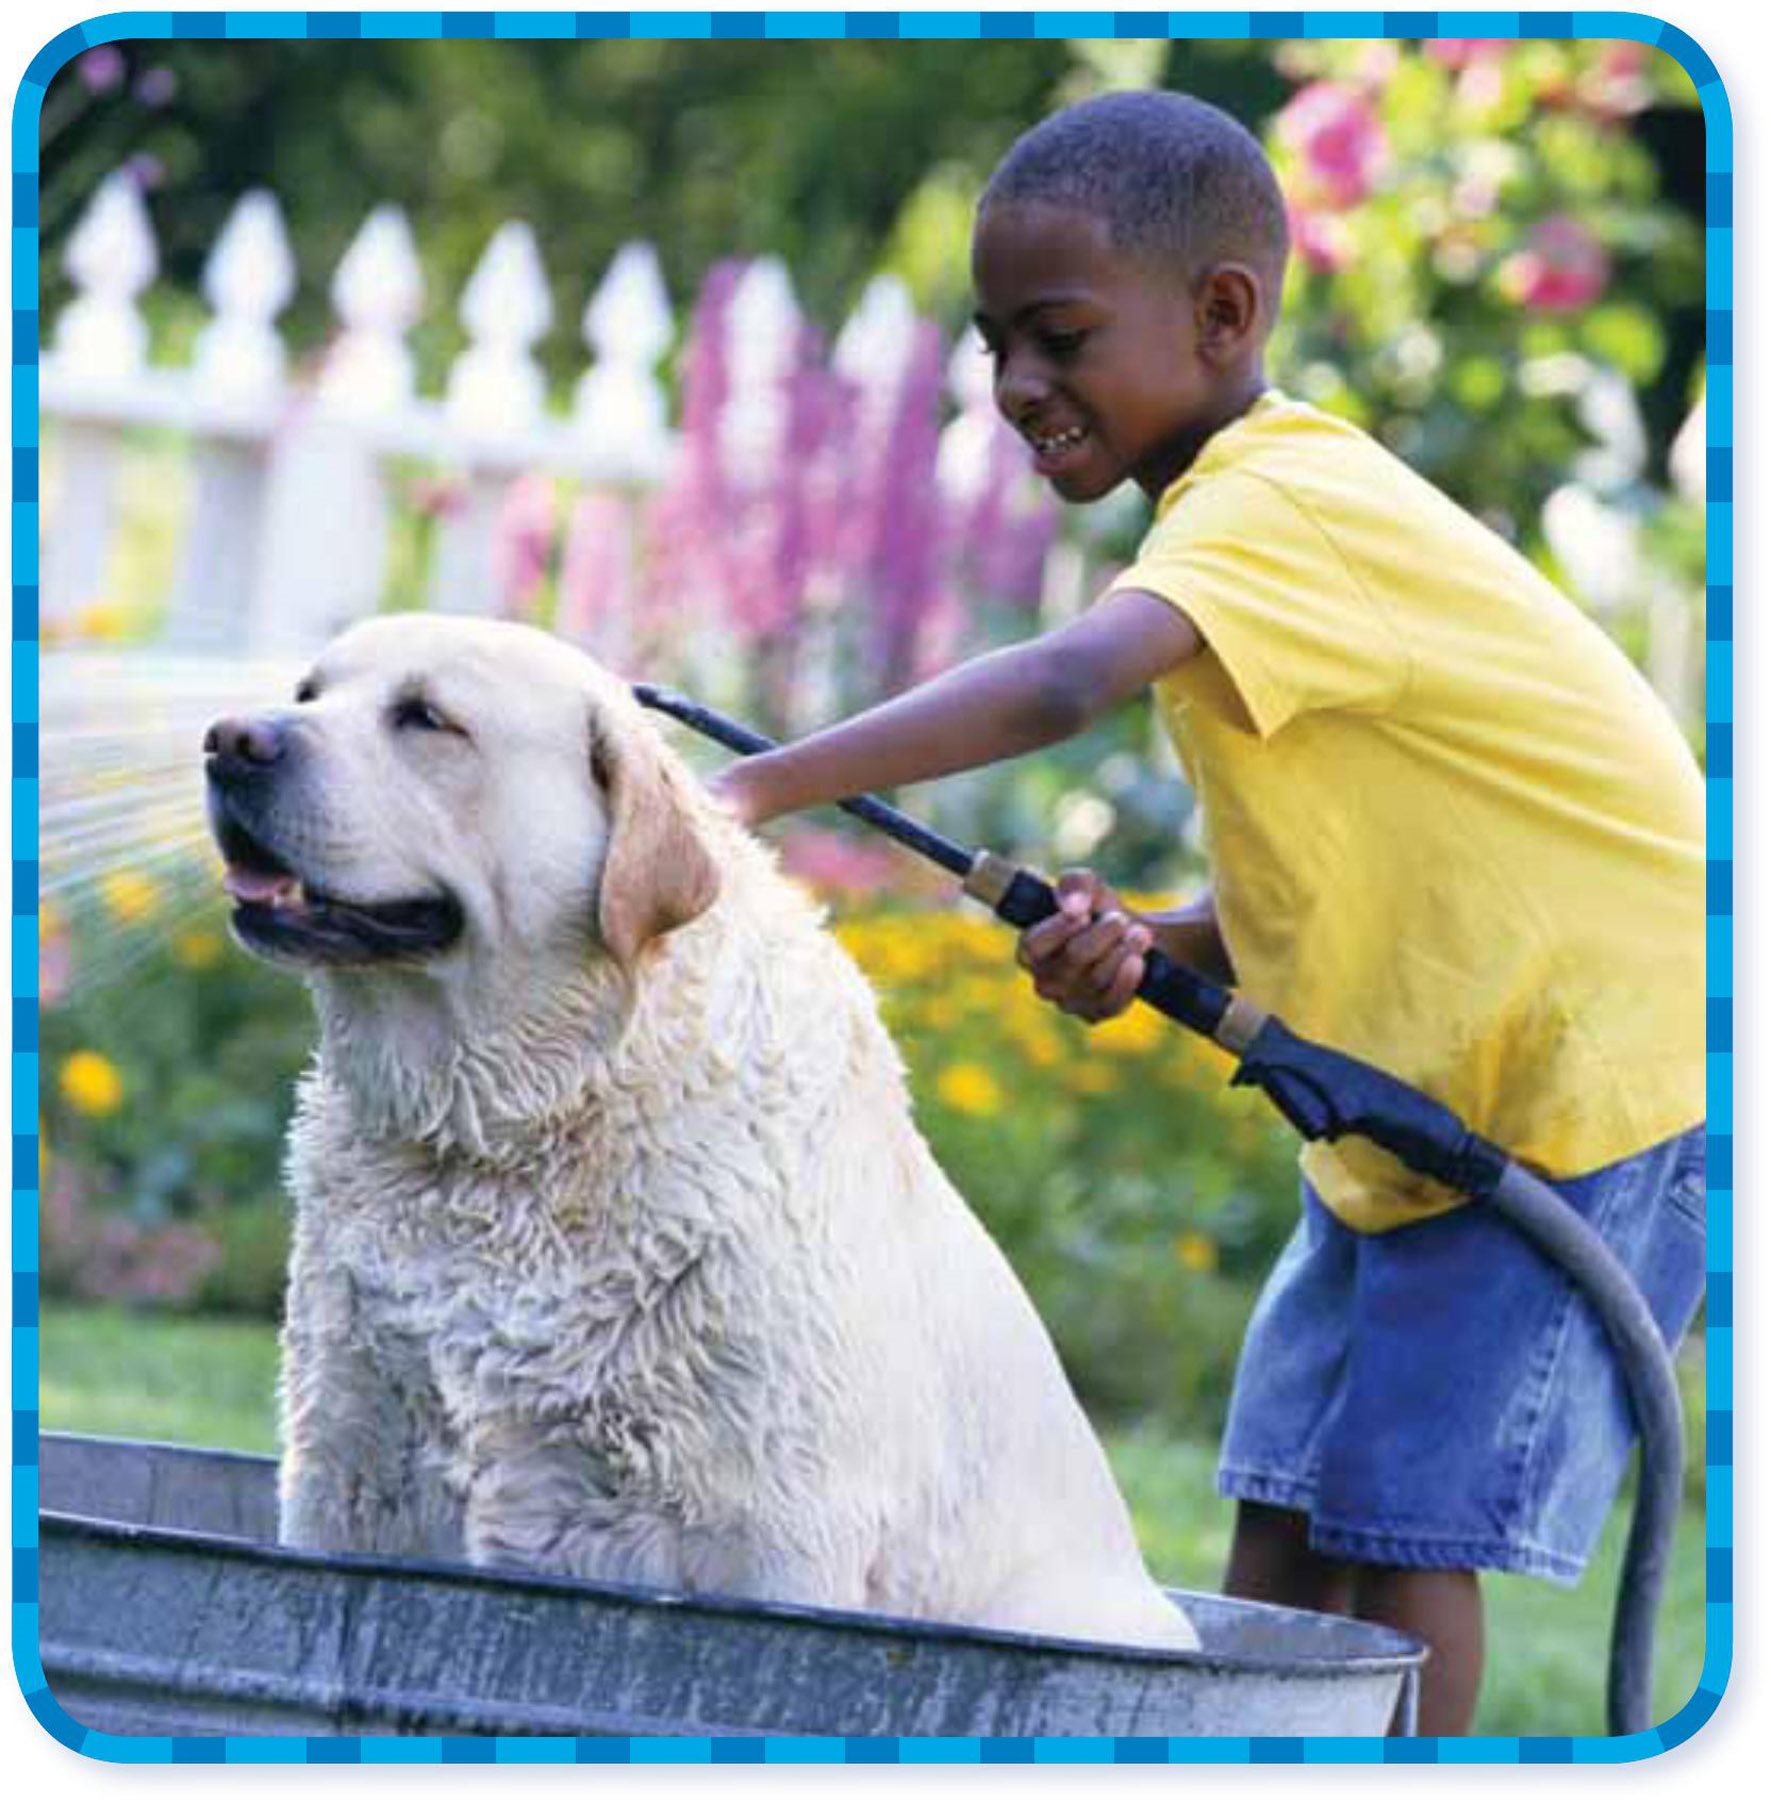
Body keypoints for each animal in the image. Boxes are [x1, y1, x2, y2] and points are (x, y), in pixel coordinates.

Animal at [204, 613, 1204, 1651]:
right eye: (308, 692)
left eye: (428, 718)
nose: (230, 739)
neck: (515, 1128)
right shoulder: (345, 1463)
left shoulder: (782, 1525)